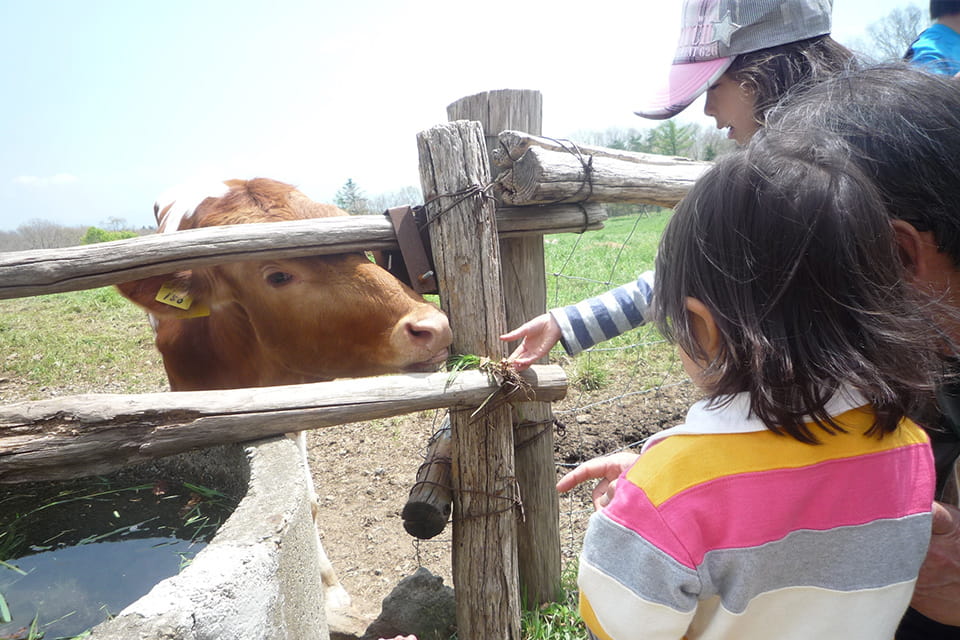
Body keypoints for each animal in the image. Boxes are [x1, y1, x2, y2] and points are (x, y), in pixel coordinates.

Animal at [116, 179, 454, 616]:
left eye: (360, 249)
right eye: (278, 275)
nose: (433, 326)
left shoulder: (293, 408)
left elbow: (306, 501)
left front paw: (328, 588)